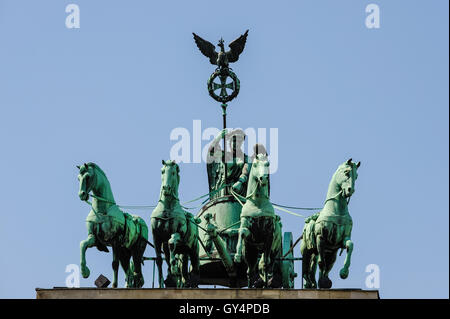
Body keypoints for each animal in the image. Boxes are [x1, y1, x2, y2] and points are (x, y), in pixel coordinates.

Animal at [234, 154, 276, 288]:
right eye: (256, 164)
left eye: (268, 164)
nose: (263, 178)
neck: (258, 203)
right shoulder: (249, 232)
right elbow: (242, 231)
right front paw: (237, 255)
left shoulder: (269, 234)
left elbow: (266, 263)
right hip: (250, 253)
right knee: (249, 271)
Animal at [300, 159, 360, 290]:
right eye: (346, 172)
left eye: (356, 176)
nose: (350, 190)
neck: (336, 210)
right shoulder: (320, 238)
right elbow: (321, 263)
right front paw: (322, 281)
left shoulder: (341, 241)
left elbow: (350, 245)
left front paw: (344, 272)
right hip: (306, 249)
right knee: (306, 266)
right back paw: (309, 282)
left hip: (331, 252)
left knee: (325, 264)